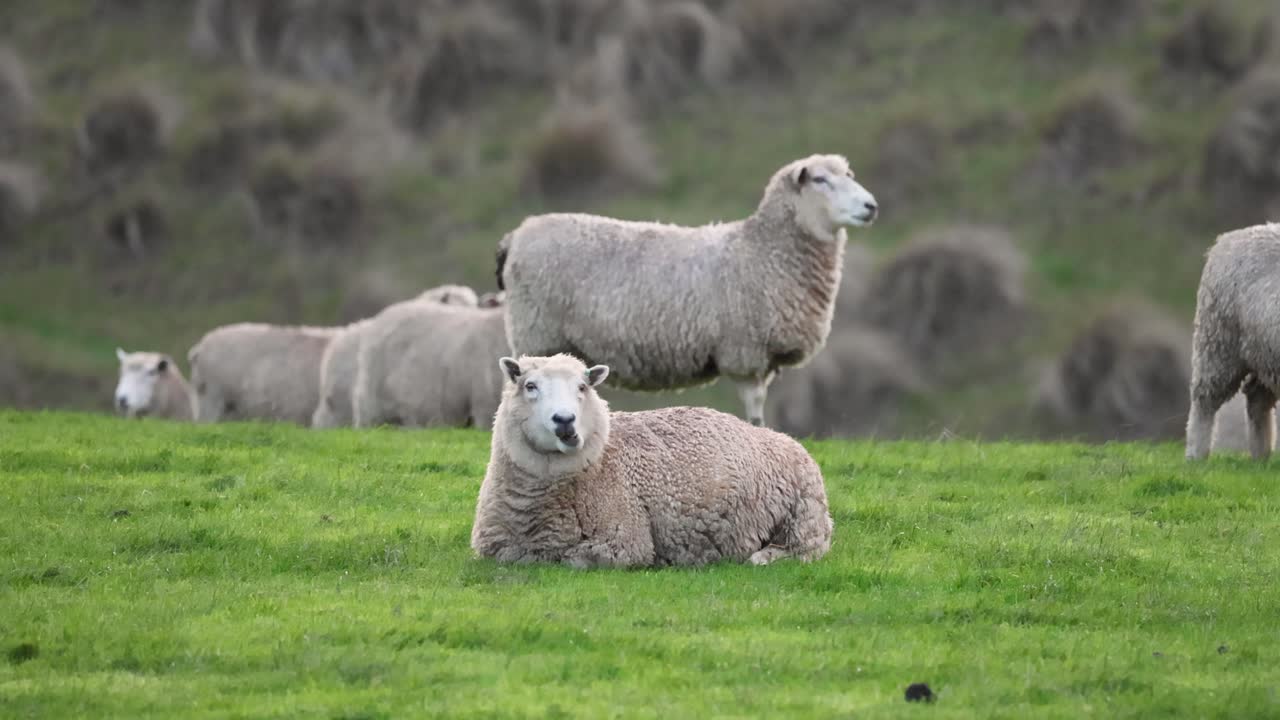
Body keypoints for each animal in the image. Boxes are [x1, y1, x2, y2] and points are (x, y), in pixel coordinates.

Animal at [471, 353, 834, 568]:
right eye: (530, 386)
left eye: (582, 387)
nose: (564, 420)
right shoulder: (493, 549)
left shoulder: (626, 542)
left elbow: (573, 559)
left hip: (803, 519)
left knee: (806, 550)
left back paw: (763, 557)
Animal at [497, 153, 878, 426]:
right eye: (820, 179)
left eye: (850, 176)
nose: (871, 206)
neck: (762, 250)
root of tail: (517, 234)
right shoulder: (745, 353)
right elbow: (755, 414)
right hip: (536, 331)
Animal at [1187, 223, 1280, 460]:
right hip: (1217, 345)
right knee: (1203, 402)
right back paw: (1196, 455)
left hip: (1263, 355)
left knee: (1257, 399)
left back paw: (1261, 455)